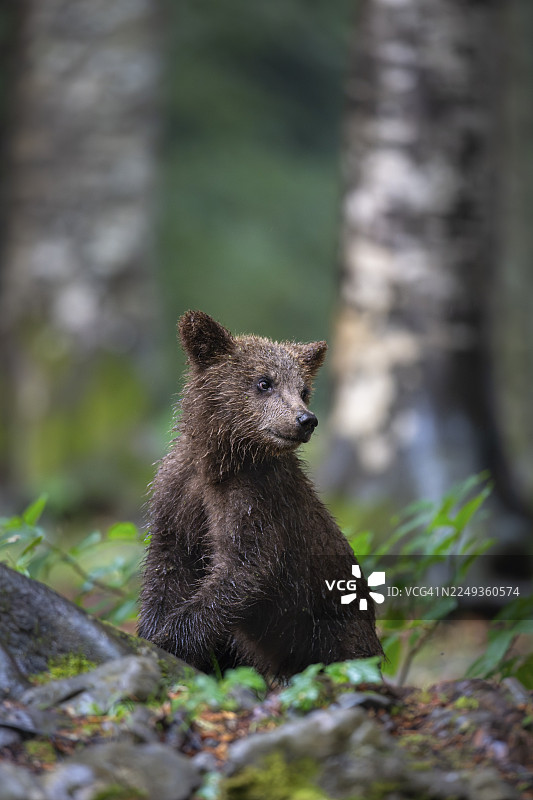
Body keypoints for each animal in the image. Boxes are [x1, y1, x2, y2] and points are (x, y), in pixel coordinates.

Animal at [138, 311, 383, 677]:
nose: (305, 420)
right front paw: (152, 634)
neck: (222, 462)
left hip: (333, 628)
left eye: (303, 389)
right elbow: (166, 568)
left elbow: (245, 569)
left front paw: (171, 640)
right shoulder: (177, 493)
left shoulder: (255, 500)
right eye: (264, 382)